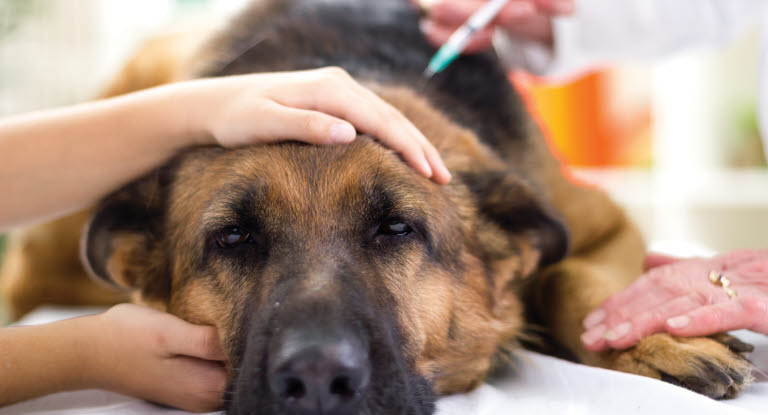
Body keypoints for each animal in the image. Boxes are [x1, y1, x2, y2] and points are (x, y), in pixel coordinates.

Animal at [0, 0, 756, 415]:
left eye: (396, 228)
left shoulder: (602, 224)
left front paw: (651, 339)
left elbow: (574, 276)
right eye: (234, 238)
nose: (315, 377)